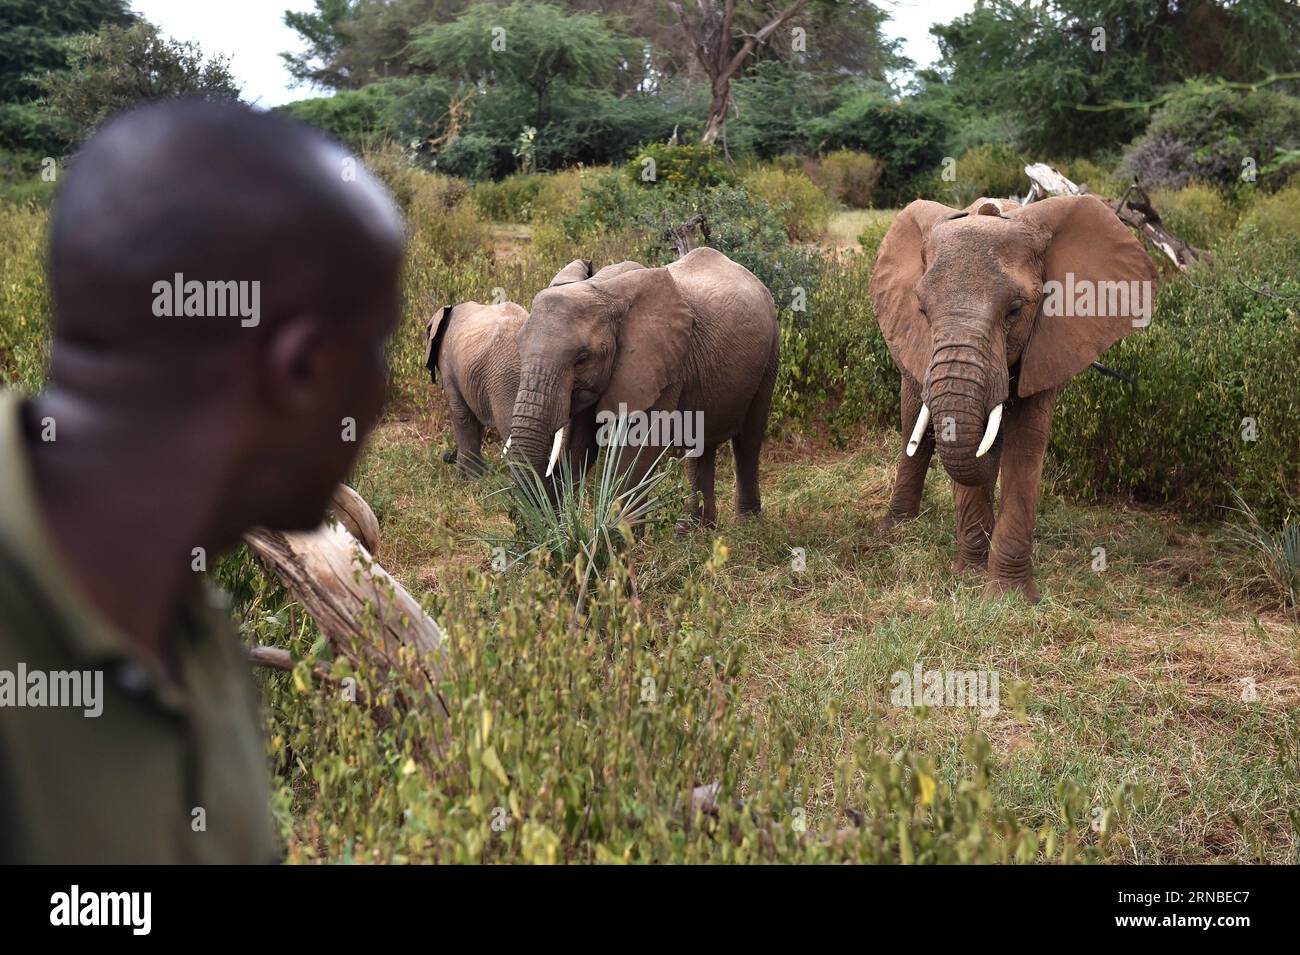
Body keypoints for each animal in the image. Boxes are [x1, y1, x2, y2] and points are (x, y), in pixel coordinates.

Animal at [501, 242, 774, 527]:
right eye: (519, 348)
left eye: (582, 359)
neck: (603, 290)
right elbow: (579, 446)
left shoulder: (662, 365)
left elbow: (638, 447)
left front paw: (615, 536)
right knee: (700, 445)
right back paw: (694, 529)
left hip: (769, 355)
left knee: (748, 440)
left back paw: (747, 524)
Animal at [873, 192, 1159, 605]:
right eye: (923, 310)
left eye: (1015, 310)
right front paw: (970, 577)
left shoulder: (1049, 342)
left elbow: (1025, 445)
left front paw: (1008, 596)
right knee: (915, 421)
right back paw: (896, 529)